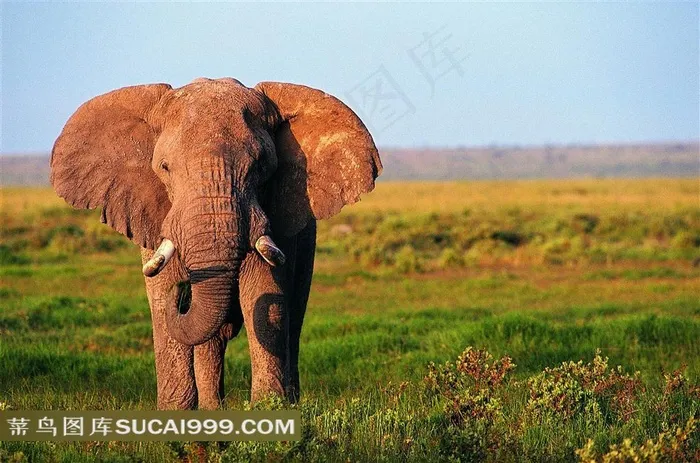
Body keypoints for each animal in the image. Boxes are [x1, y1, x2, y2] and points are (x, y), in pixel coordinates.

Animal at [50, 77, 382, 409]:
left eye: (261, 166)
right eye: (164, 168)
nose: (182, 292)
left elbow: (264, 294)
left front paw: (269, 411)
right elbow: (162, 301)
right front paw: (175, 416)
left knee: (293, 316)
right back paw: (212, 409)